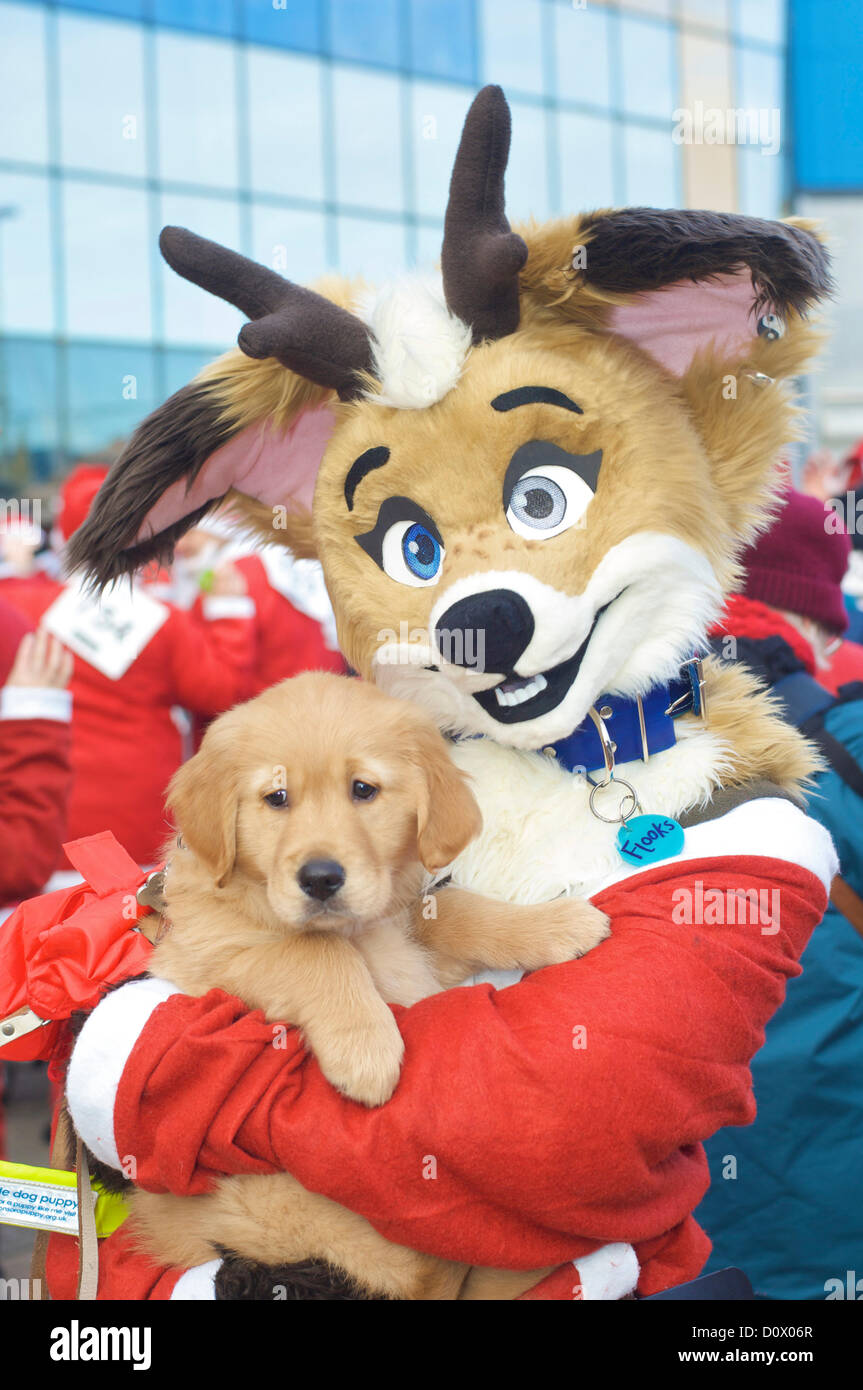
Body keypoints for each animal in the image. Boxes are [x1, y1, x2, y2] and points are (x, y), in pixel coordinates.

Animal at [131, 672, 608, 1301]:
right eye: (276, 798)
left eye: (364, 790)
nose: (320, 879)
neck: (361, 930)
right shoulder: (207, 953)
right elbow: (314, 951)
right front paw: (368, 1051)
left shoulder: (413, 930)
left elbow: (457, 907)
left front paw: (553, 924)